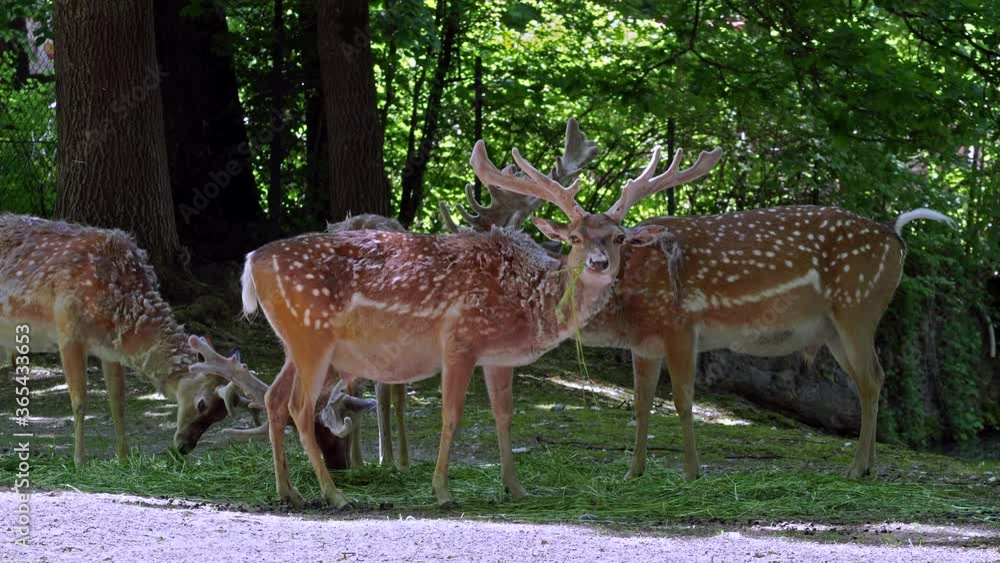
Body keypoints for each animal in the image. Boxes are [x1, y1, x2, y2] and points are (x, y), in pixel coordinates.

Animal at [0, 214, 245, 466]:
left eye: (221, 416)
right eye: (202, 403)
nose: (184, 447)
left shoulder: (110, 349)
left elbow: (118, 402)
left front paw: (124, 458)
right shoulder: (68, 329)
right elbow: (79, 401)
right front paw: (79, 462)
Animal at [236, 138, 721, 508]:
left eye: (619, 237)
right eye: (576, 237)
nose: (600, 263)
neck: (526, 302)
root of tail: (251, 262)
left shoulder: (498, 357)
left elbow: (504, 416)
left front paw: (516, 488)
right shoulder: (461, 340)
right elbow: (452, 414)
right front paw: (441, 490)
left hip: (298, 343)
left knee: (275, 399)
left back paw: (290, 493)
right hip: (312, 337)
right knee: (299, 406)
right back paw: (334, 494)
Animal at [448, 137, 956, 482]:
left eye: (618, 237)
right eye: (573, 237)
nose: (598, 262)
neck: (627, 309)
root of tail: (897, 238)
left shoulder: (681, 325)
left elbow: (682, 399)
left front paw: (692, 472)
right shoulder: (644, 343)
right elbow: (641, 404)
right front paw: (634, 472)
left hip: (858, 307)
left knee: (871, 379)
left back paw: (855, 470)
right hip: (831, 328)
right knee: (873, 380)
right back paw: (865, 466)